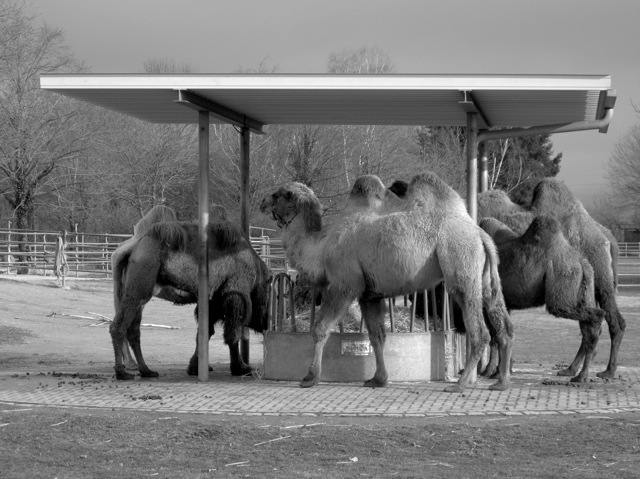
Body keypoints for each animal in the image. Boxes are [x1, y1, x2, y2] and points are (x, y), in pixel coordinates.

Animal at [110, 219, 270, 380]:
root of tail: (131, 249)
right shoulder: (235, 296)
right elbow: (232, 334)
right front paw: (241, 368)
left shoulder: (212, 302)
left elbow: (205, 333)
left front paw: (195, 367)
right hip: (137, 290)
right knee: (119, 327)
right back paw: (122, 372)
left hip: (138, 295)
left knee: (133, 331)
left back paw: (146, 371)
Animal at [480, 181, 624, 382]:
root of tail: (607, 237)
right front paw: (503, 368)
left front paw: (491, 371)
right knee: (590, 325)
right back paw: (572, 370)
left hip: (598, 280)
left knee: (611, 320)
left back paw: (606, 371)